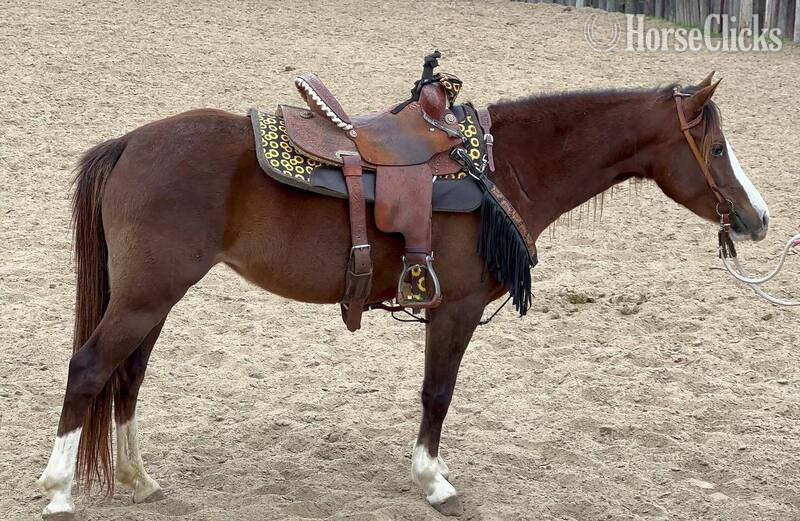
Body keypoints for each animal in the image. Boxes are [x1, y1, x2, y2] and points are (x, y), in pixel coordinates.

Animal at [37, 73, 769, 519]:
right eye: (716, 146)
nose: (758, 218)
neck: (500, 168)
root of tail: (131, 143)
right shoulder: (456, 308)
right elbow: (437, 392)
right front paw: (433, 480)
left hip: (153, 300)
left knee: (128, 377)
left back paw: (138, 479)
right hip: (145, 297)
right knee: (90, 369)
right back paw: (60, 491)